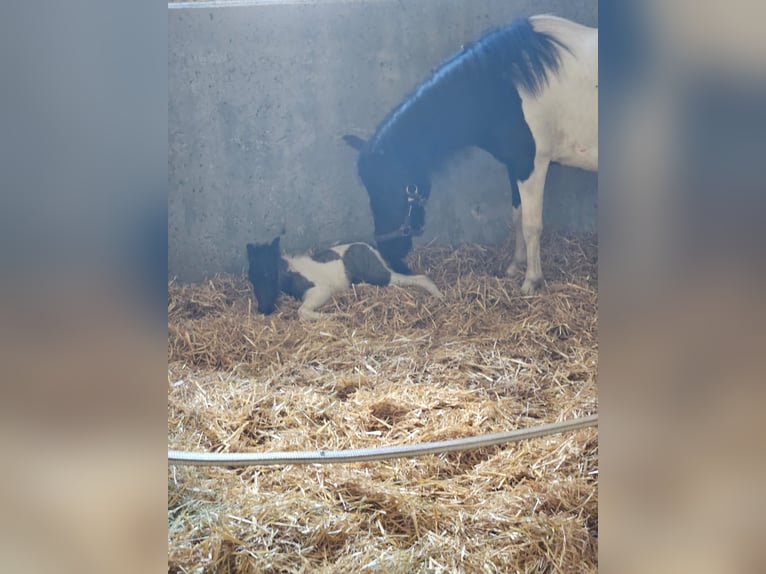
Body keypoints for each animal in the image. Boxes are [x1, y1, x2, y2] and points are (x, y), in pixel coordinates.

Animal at [248, 236, 444, 322]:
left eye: (269, 274)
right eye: (252, 278)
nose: (263, 309)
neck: (293, 273)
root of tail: (371, 248)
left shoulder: (321, 290)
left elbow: (302, 311)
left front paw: (340, 315)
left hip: (381, 276)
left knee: (420, 277)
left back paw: (440, 296)